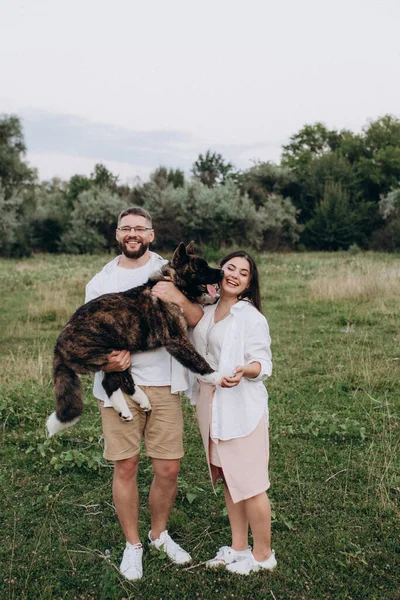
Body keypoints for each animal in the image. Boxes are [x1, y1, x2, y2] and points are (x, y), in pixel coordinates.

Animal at [46, 241, 225, 438]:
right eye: (200, 268)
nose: (222, 273)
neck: (172, 282)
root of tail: (59, 345)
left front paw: (211, 298)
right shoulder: (176, 340)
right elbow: (198, 362)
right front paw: (217, 377)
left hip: (119, 354)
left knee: (112, 382)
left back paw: (133, 406)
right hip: (107, 354)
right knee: (114, 381)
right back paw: (134, 404)